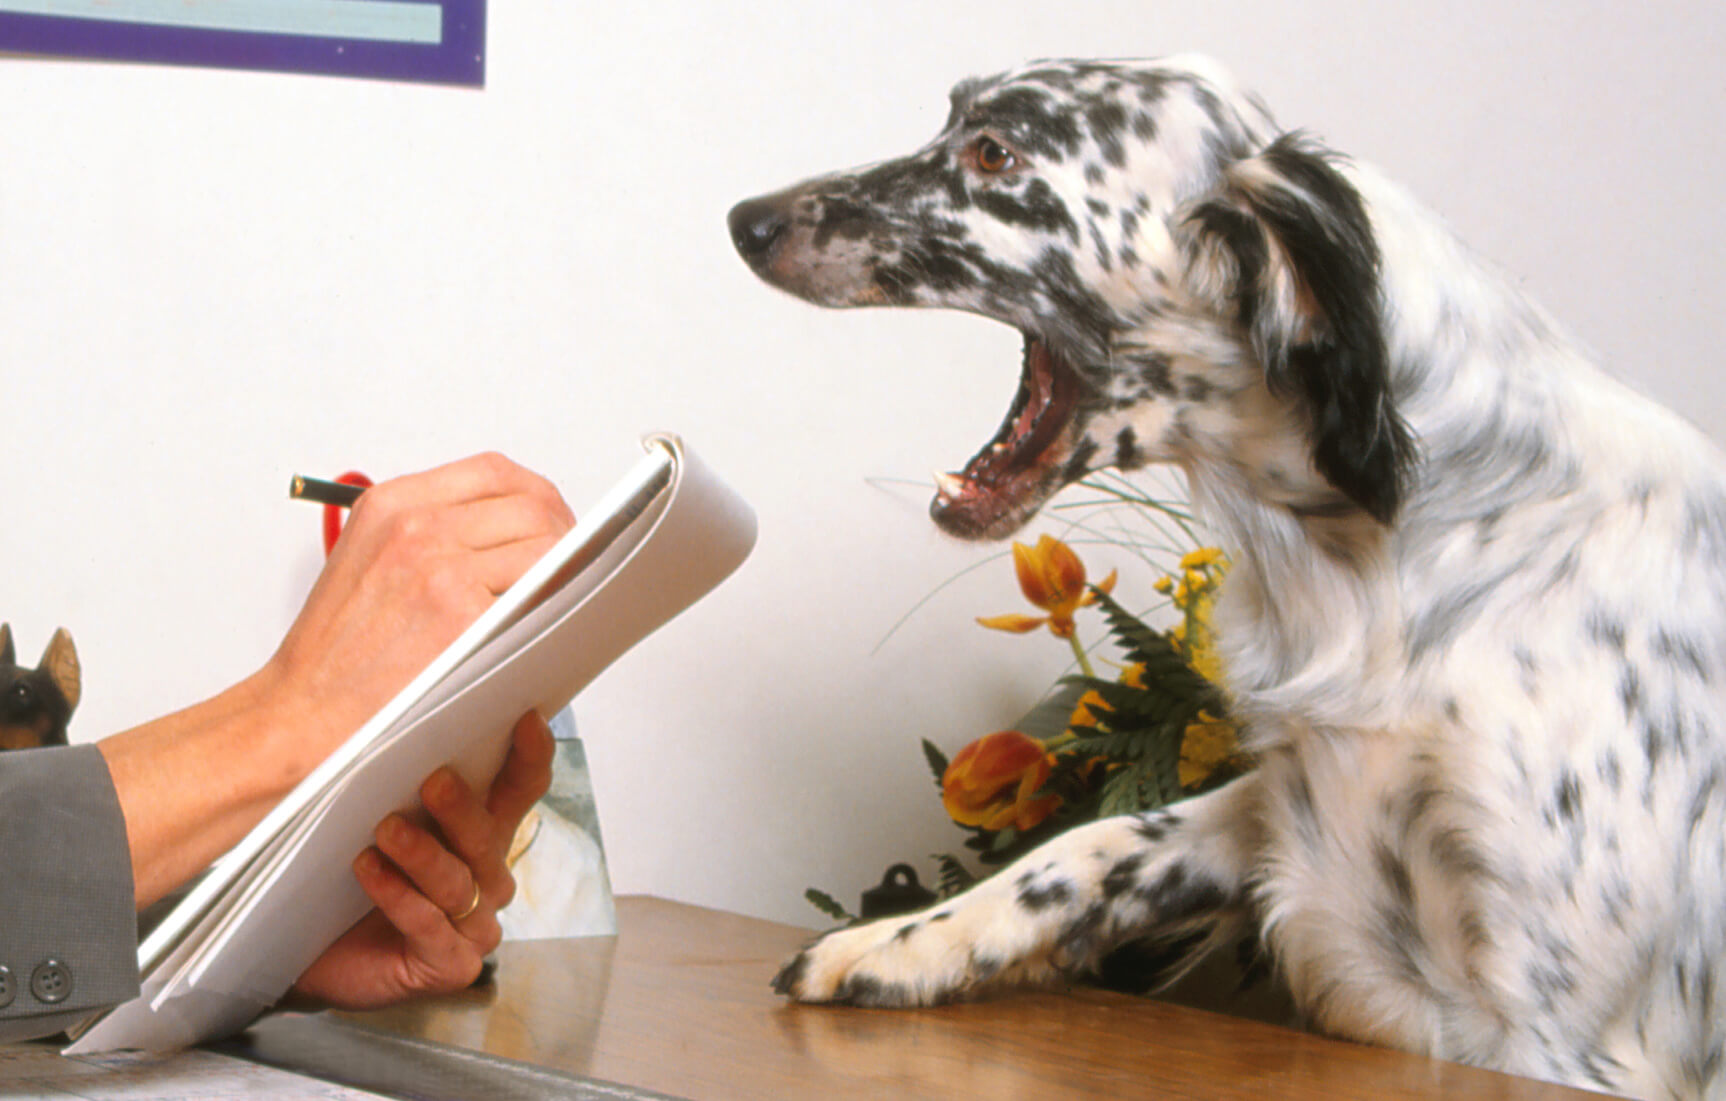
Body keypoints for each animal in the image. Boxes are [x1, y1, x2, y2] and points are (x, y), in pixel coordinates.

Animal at [731, 56, 1726, 1097]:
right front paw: (902, 940)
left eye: (995, 152)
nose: (744, 219)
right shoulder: (1289, 804)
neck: (1415, 542)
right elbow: (1092, 845)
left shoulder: (1570, 1037)